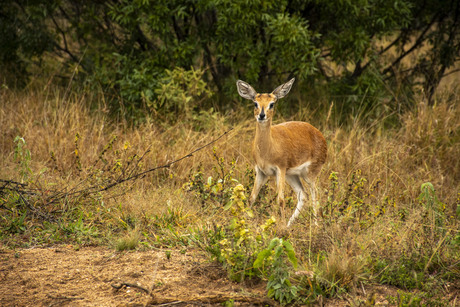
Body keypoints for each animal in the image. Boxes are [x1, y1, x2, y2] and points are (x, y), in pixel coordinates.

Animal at [237, 78, 328, 227]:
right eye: (255, 103)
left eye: (272, 104)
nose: (262, 115)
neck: (267, 149)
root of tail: (319, 134)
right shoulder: (261, 172)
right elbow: (251, 198)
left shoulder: (279, 169)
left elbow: (280, 200)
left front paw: (280, 226)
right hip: (292, 175)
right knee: (303, 195)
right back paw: (289, 225)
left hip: (309, 174)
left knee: (315, 194)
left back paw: (315, 225)